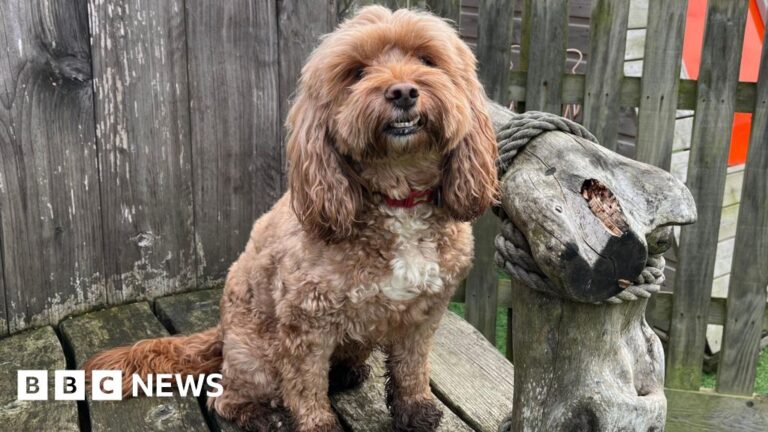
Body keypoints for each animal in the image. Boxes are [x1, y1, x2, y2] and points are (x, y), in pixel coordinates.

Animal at [85, 5, 498, 432]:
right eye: (357, 72)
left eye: (427, 60)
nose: (402, 92)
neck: (398, 199)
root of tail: (221, 333)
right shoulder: (305, 322)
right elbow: (305, 385)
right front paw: (318, 425)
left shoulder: (423, 314)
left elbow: (411, 366)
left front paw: (415, 408)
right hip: (257, 356)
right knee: (226, 397)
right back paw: (264, 415)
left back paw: (348, 372)